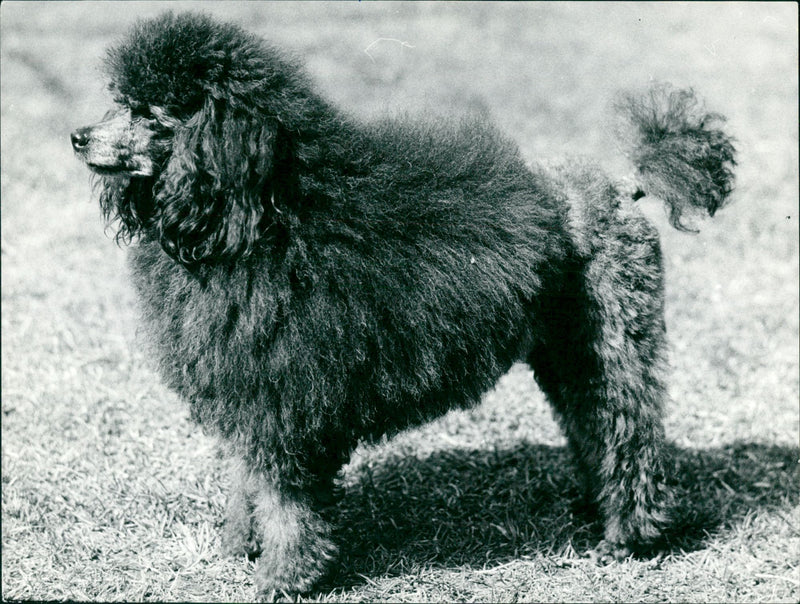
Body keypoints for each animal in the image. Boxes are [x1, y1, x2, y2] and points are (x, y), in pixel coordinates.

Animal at [72, 9, 736, 600]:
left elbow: (286, 500)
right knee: (592, 428)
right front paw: (242, 544)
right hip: (568, 350)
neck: (257, 217)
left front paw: (285, 577)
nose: (78, 137)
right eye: (119, 100)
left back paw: (627, 538)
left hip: (613, 345)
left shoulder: (285, 400)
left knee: (628, 437)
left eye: (148, 113)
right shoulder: (251, 393)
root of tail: (624, 189)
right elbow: (248, 482)